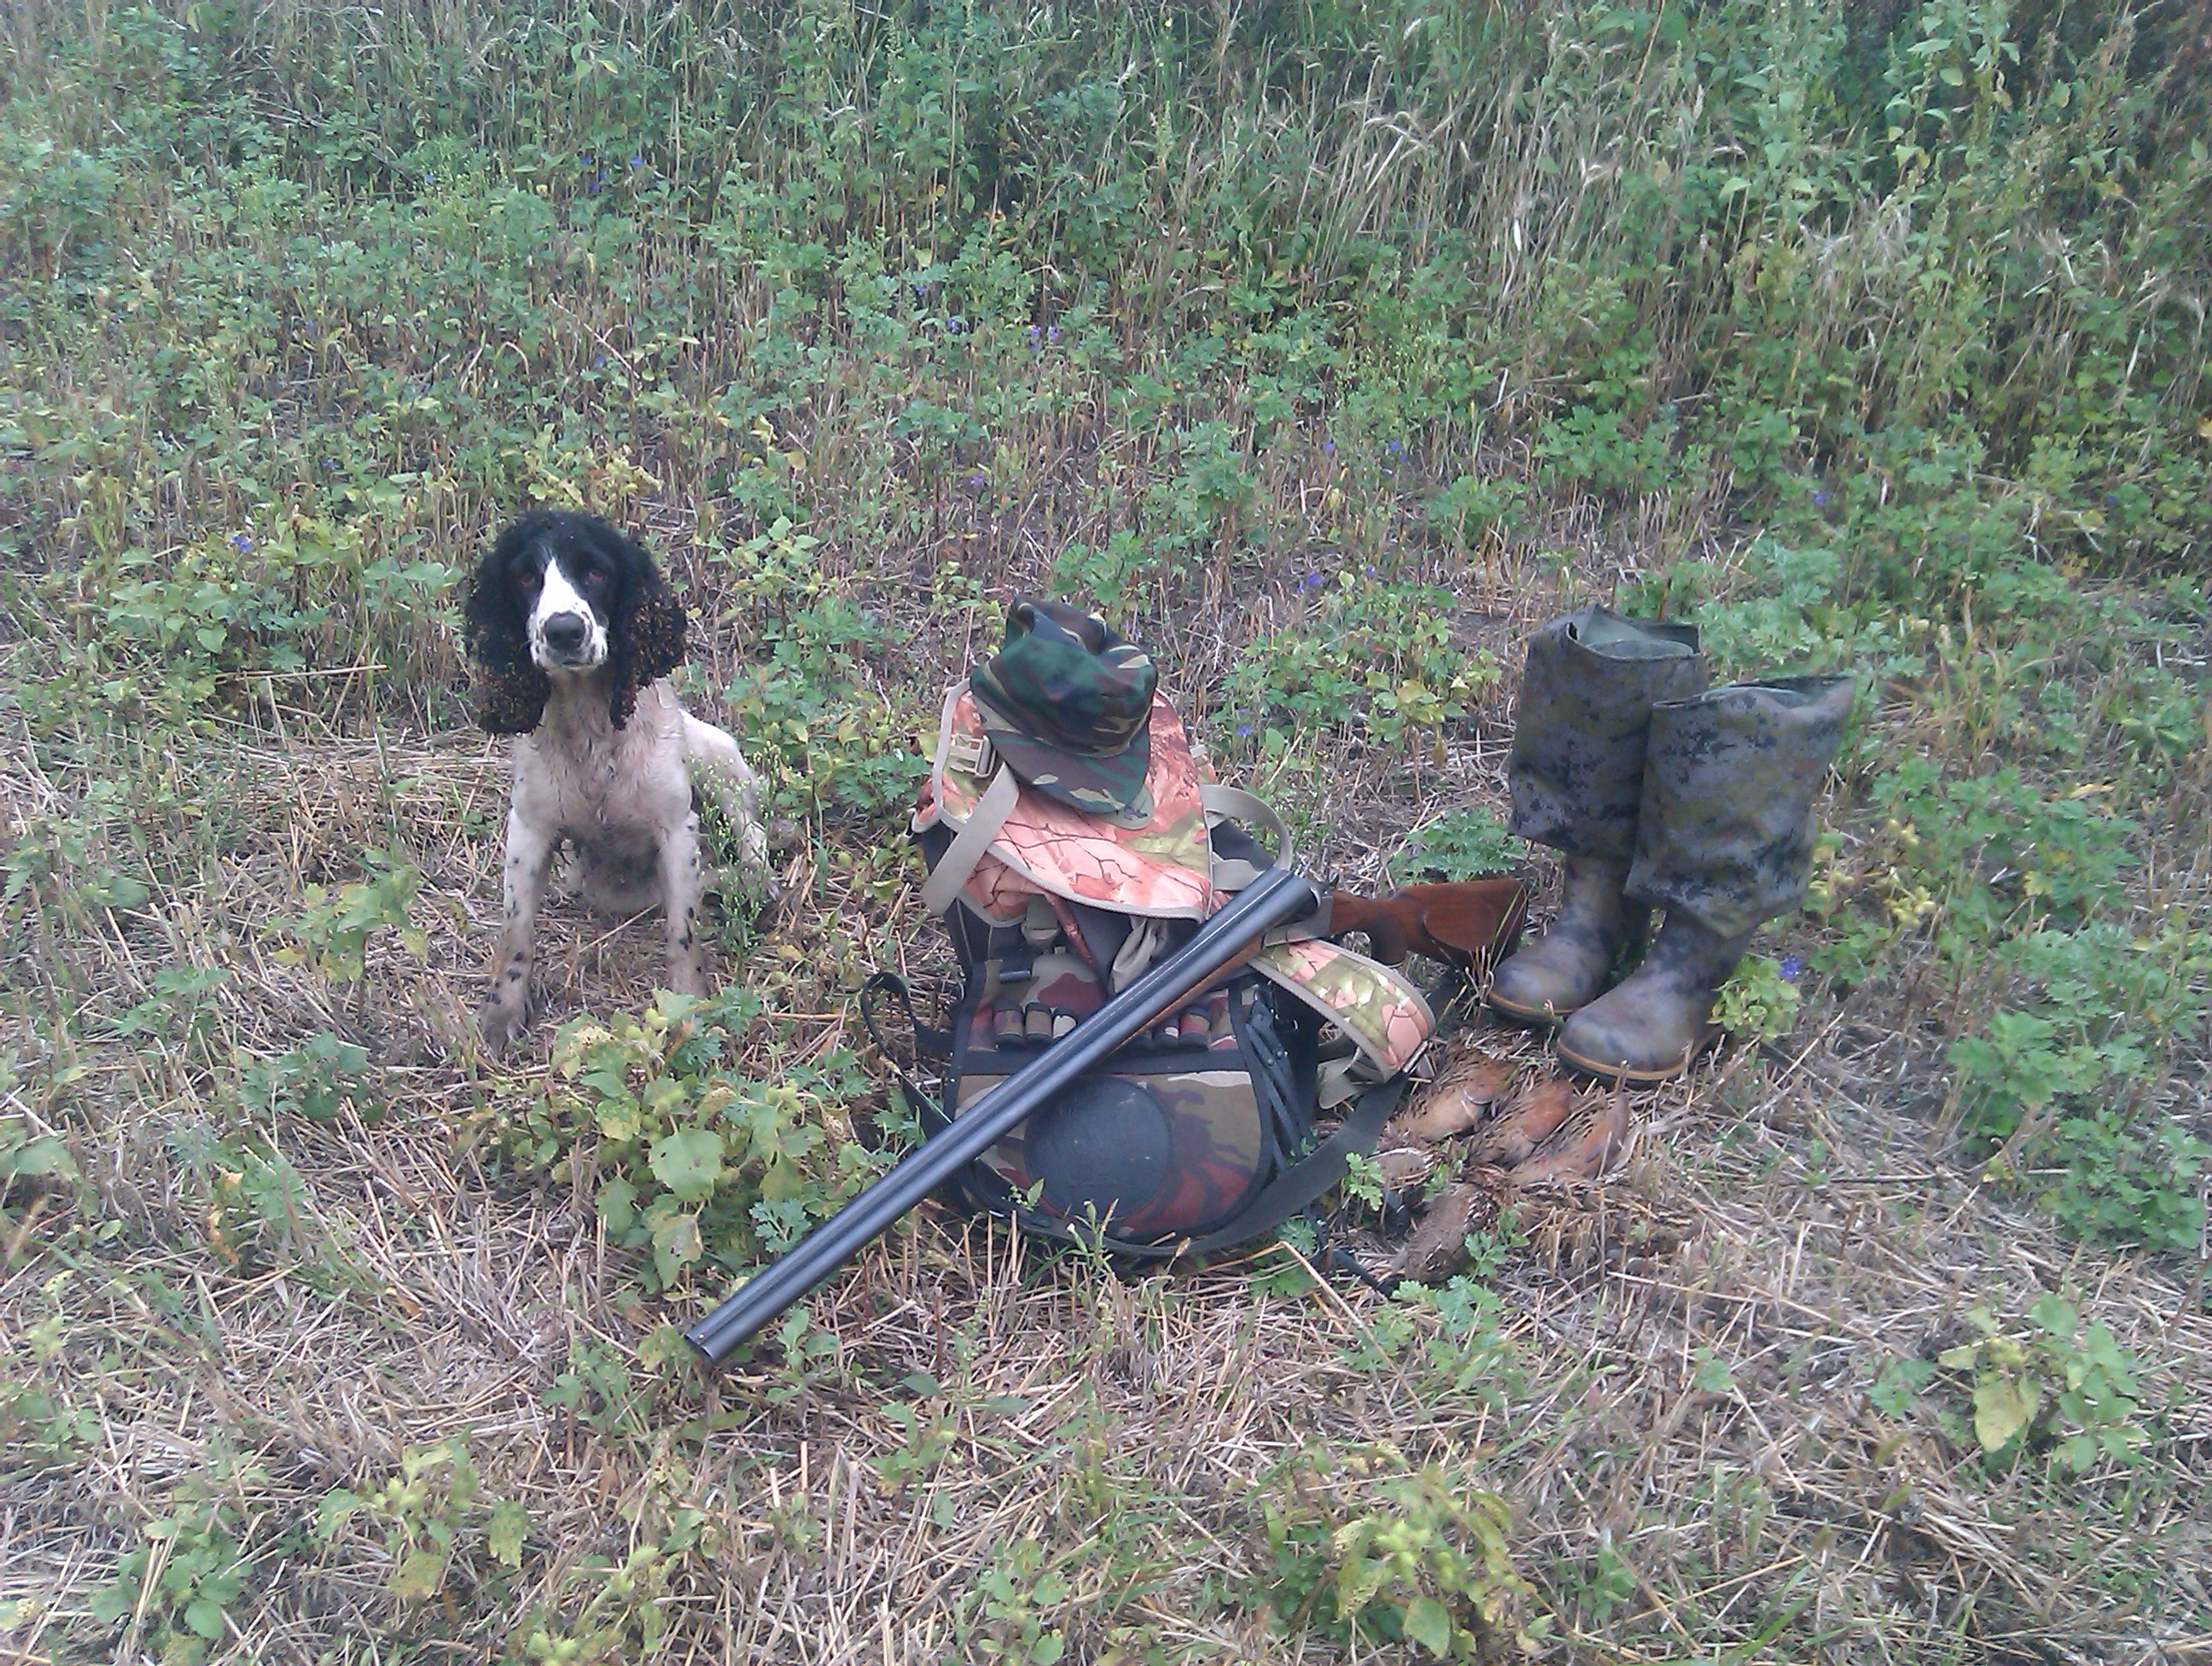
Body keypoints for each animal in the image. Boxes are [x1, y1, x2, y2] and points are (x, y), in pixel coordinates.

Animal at [462, 510, 770, 1053]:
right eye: (525, 578)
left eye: (596, 571)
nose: (564, 632)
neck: (590, 727)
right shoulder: (528, 828)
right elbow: (516, 932)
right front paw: (502, 1012)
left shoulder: (677, 828)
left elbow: (683, 932)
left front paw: (687, 1005)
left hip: (716, 751)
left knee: (749, 830)